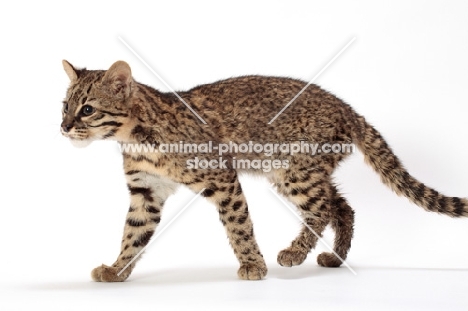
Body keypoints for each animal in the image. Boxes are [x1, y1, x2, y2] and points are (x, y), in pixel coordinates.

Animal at [61, 60, 468, 282]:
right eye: (64, 105)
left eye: (87, 110)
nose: (63, 127)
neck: (134, 140)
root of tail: (346, 107)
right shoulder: (146, 192)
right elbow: (134, 235)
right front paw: (117, 270)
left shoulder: (222, 177)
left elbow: (238, 224)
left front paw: (252, 265)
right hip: (301, 171)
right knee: (343, 206)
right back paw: (335, 258)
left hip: (294, 170)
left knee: (322, 208)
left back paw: (294, 253)